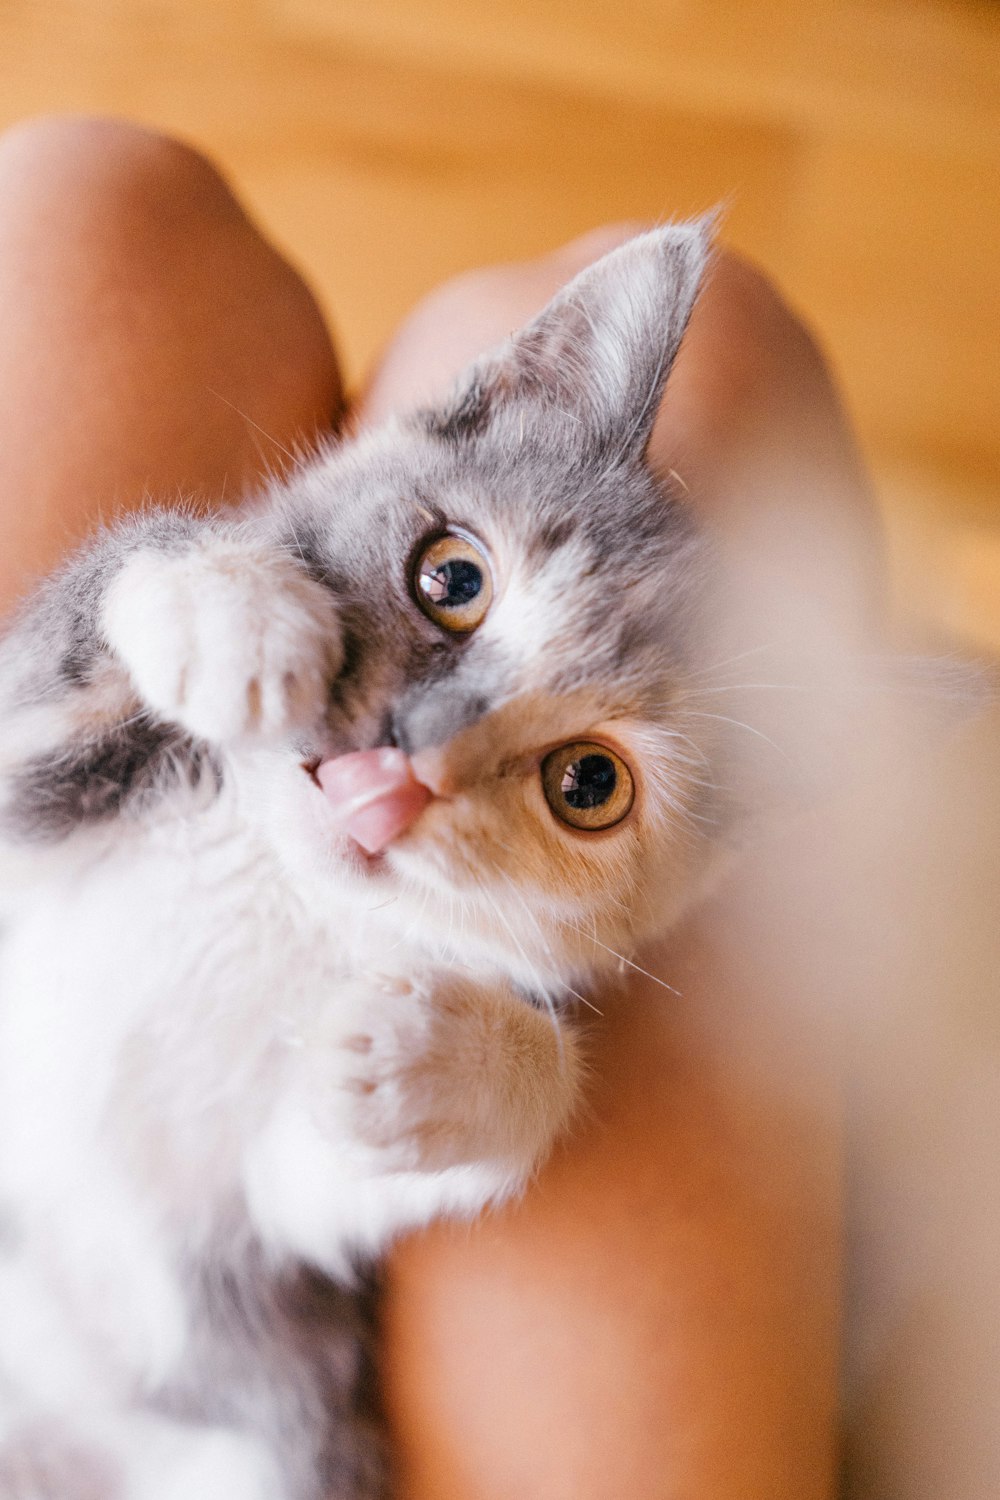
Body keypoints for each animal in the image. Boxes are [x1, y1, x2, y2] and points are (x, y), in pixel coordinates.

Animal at [0, 225, 719, 1500]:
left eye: (588, 786)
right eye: (453, 577)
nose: (408, 756)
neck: (276, 888)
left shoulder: (257, 1234)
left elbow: (325, 1176)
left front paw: (432, 1060)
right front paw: (224, 607)